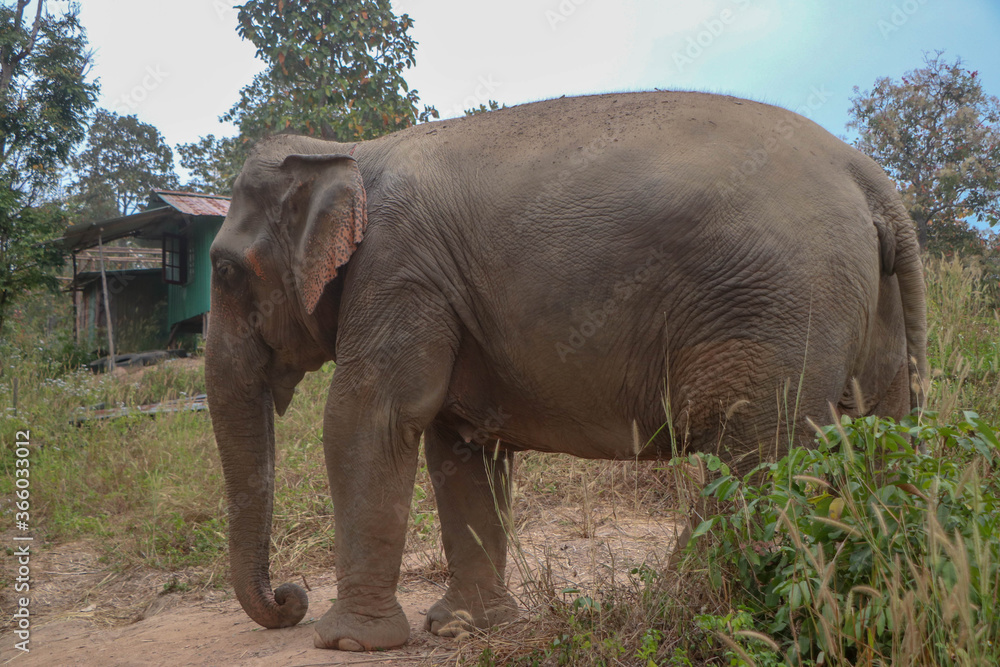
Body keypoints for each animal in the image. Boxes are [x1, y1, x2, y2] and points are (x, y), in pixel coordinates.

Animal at [205, 90, 928, 652]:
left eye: (224, 270)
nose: (289, 599)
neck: (349, 149)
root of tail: (874, 182)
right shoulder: (436, 289)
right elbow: (461, 445)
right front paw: (466, 629)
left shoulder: (398, 269)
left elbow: (367, 418)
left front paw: (348, 642)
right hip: (870, 316)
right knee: (869, 440)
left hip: (777, 309)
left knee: (753, 451)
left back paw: (678, 607)